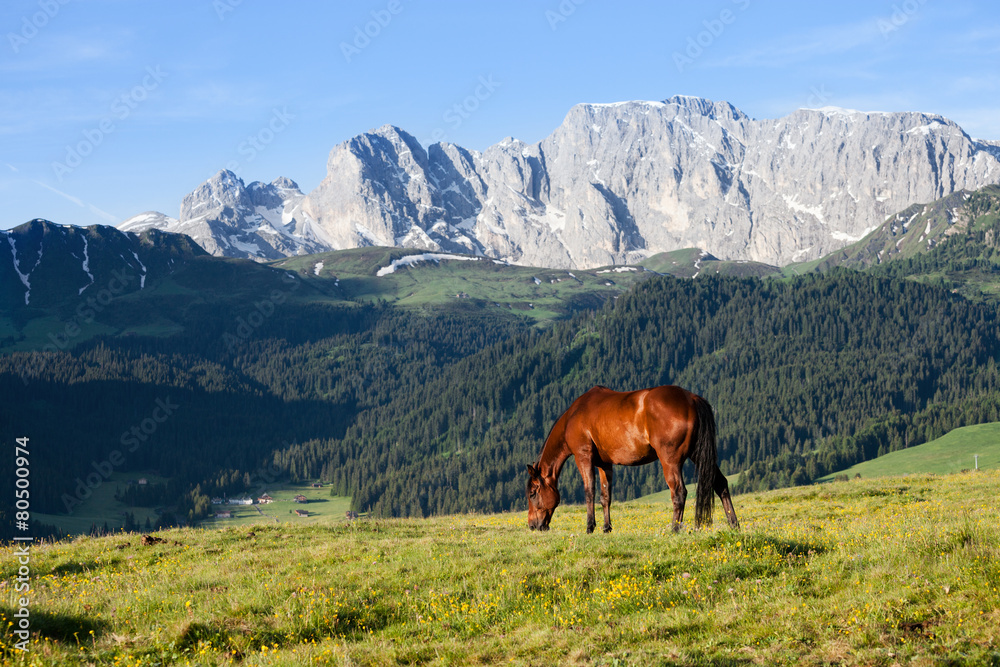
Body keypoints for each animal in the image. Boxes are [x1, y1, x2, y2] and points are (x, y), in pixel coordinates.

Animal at [528, 384, 740, 536]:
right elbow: (605, 496)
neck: (574, 416)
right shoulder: (604, 464)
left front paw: (590, 527)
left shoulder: (583, 457)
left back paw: (674, 529)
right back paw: (734, 524)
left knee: (679, 492)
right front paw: (606, 528)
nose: (532, 525)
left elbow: (589, 492)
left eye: (532, 493)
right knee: (720, 483)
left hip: (670, 461)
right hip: (697, 455)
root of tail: (692, 399)